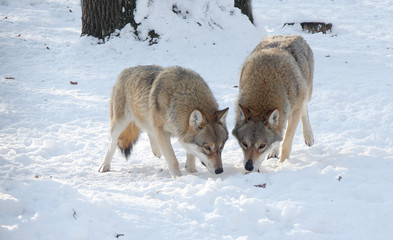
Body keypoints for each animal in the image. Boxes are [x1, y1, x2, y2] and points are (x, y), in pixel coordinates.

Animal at [98, 64, 228, 177]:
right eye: (207, 147)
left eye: (221, 147)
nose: (220, 171)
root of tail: (125, 71)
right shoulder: (162, 131)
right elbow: (173, 160)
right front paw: (178, 177)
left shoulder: (181, 135)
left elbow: (191, 155)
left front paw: (192, 172)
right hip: (120, 123)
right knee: (113, 142)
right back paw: (104, 166)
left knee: (149, 132)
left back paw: (157, 152)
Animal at [233, 34, 312, 172]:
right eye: (244, 144)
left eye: (262, 145)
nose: (249, 167)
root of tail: (294, 35)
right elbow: (279, 137)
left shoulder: (295, 110)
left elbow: (286, 141)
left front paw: (282, 164)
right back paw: (274, 152)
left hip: (307, 93)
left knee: (304, 110)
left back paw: (309, 137)